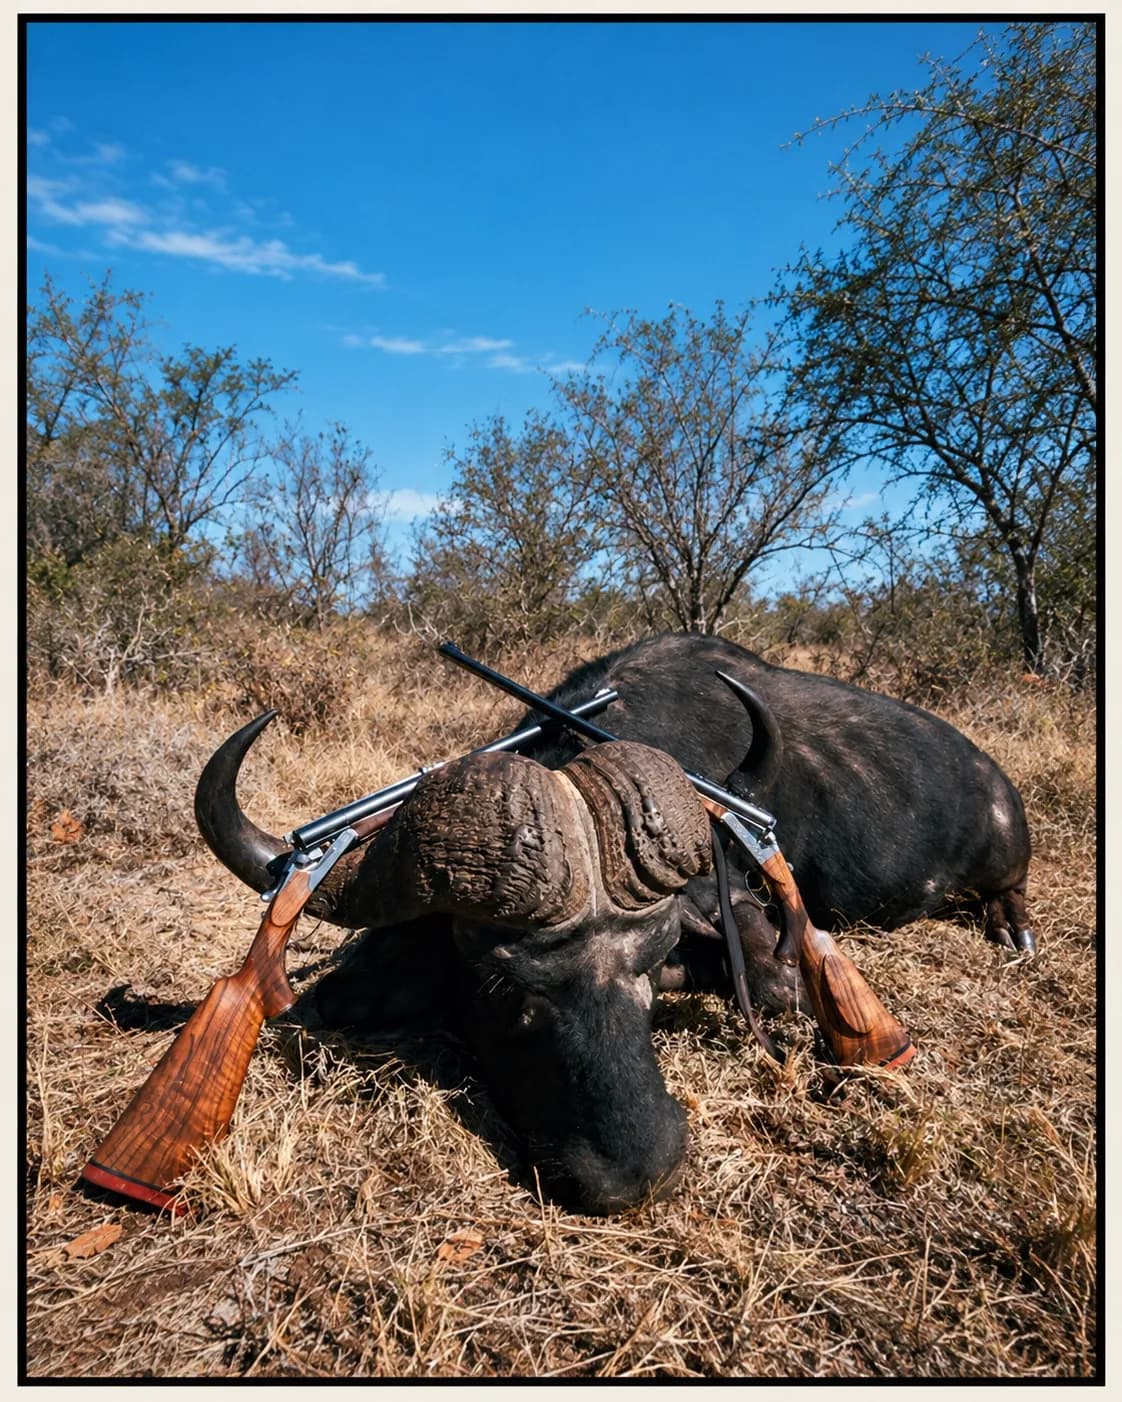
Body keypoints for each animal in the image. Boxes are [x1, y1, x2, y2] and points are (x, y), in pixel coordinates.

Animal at [194, 633, 1033, 1214]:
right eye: (502, 986)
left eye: (651, 963)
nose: (637, 1172)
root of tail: (995, 782)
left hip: (1007, 861)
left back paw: (1012, 931)